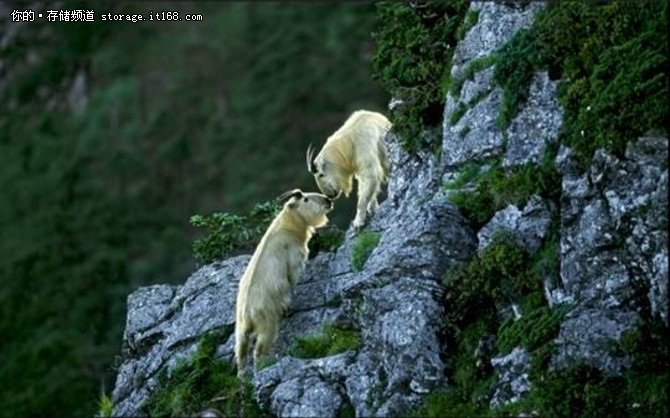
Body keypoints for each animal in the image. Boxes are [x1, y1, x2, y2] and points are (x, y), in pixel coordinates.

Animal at [235, 188, 334, 378]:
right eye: (306, 199)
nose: (328, 200)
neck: (288, 226)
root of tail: (247, 314)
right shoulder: (294, 264)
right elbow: (291, 284)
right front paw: (289, 307)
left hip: (240, 332)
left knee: (241, 356)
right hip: (268, 325)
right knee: (258, 351)